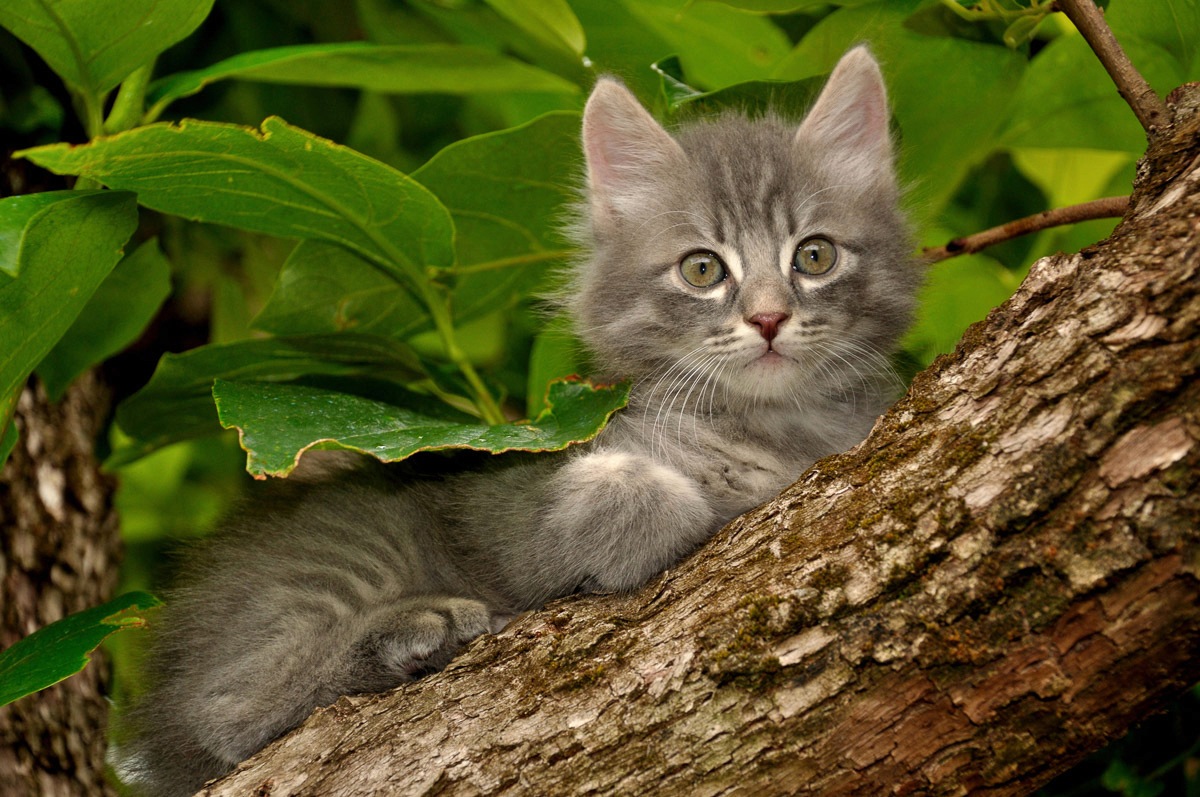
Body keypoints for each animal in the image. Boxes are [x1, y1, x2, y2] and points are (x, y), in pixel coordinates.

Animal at [112, 46, 916, 792]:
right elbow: (624, 497)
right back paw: (415, 630)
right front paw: (682, 504)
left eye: (814, 255)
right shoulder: (503, 492)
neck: (769, 423)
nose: (770, 318)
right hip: (354, 545)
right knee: (226, 707)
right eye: (701, 269)